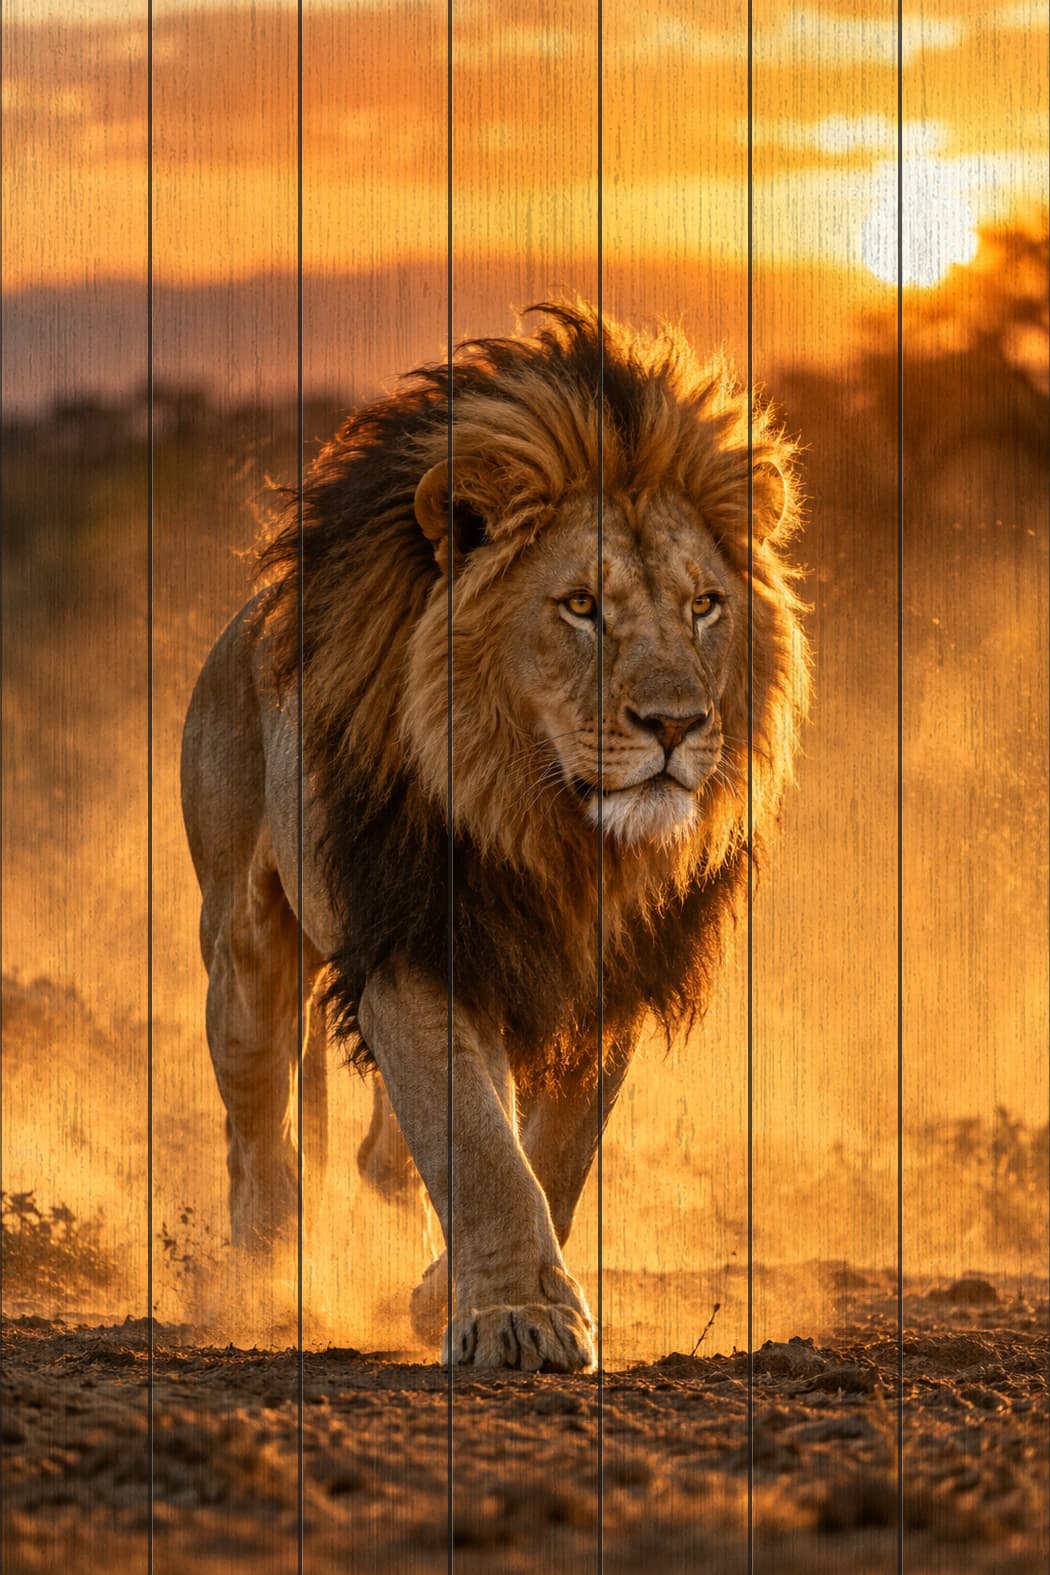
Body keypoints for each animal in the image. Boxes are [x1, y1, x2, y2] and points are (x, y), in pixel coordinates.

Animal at [181, 303, 809, 1372]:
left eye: (704, 605)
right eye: (582, 606)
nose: (677, 724)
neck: (551, 832)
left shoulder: (607, 974)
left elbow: (552, 1150)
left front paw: (454, 1292)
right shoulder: (409, 947)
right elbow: (476, 1142)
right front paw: (516, 1313)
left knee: (381, 1150)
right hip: (244, 945)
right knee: (257, 1133)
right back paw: (260, 1289)